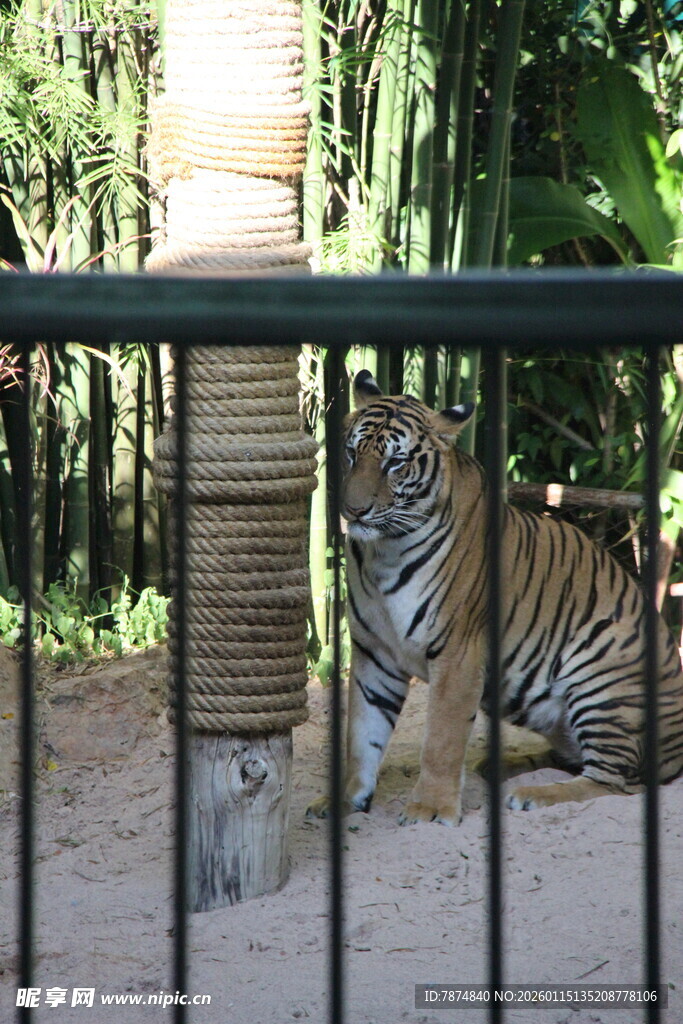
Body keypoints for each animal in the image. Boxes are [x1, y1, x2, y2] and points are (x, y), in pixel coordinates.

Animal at [307, 369, 683, 826]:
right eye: (350, 453)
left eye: (395, 462)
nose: (353, 510)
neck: (384, 552)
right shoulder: (373, 652)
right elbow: (362, 736)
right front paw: (345, 800)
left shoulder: (457, 653)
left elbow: (442, 738)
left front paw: (429, 808)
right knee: (574, 760)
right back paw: (499, 766)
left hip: (602, 668)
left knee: (612, 781)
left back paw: (531, 794)